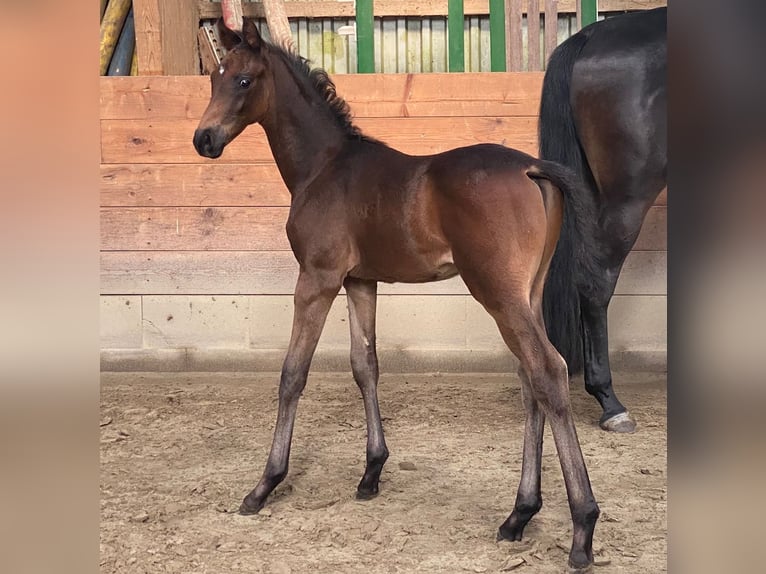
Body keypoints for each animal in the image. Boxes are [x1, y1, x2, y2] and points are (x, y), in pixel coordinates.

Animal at [195, 19, 604, 574]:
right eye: (213, 78)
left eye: (243, 80)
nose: (203, 139)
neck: (323, 167)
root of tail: (532, 168)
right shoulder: (360, 281)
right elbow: (365, 365)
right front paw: (371, 472)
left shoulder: (317, 279)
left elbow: (292, 374)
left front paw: (264, 485)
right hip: (527, 295)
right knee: (530, 381)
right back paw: (519, 514)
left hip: (498, 295)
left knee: (548, 371)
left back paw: (582, 527)